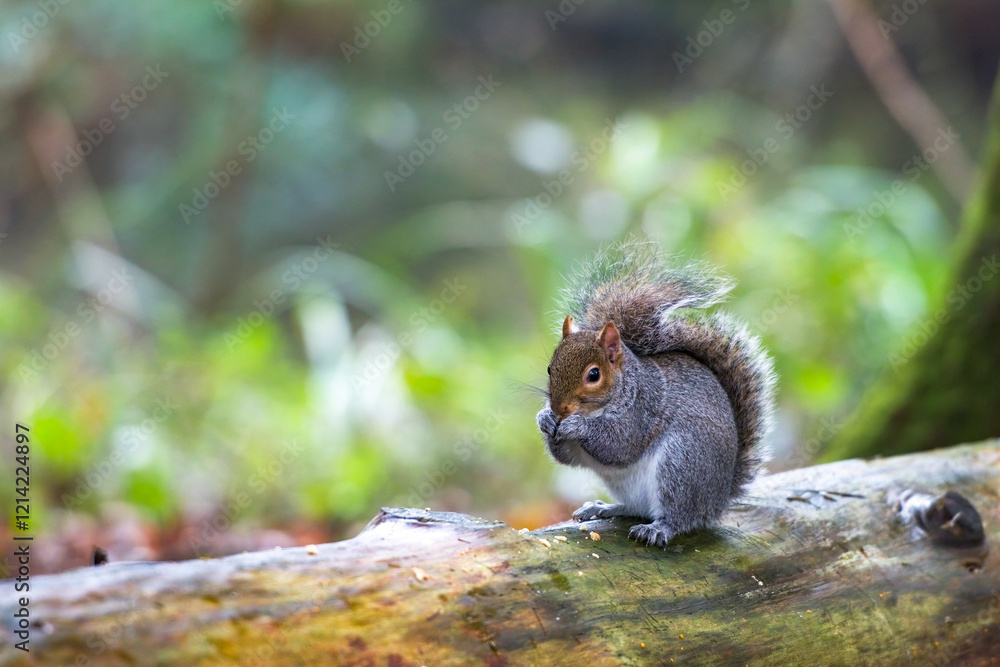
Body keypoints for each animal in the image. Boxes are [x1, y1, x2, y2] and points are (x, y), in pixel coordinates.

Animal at [536, 242, 776, 548]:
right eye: (550, 368)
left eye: (593, 375)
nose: (559, 408)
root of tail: (718, 501)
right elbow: (568, 457)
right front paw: (544, 418)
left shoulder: (643, 412)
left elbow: (618, 445)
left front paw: (578, 426)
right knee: (635, 508)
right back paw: (603, 507)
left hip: (681, 462)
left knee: (680, 517)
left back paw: (659, 528)